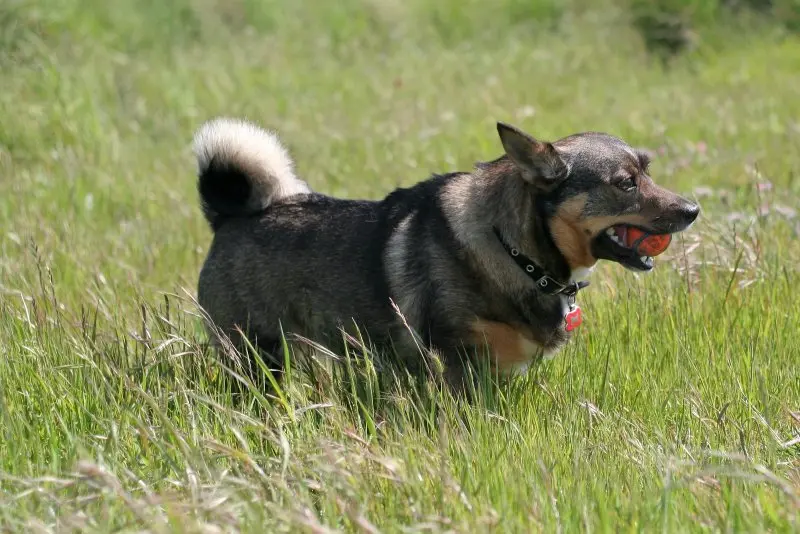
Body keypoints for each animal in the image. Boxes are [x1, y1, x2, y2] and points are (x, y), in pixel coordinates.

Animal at [191, 119, 696, 392]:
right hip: (255, 354)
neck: (514, 251)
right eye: (625, 184)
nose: (693, 210)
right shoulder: (460, 365)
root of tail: (228, 217)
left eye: (648, 172)